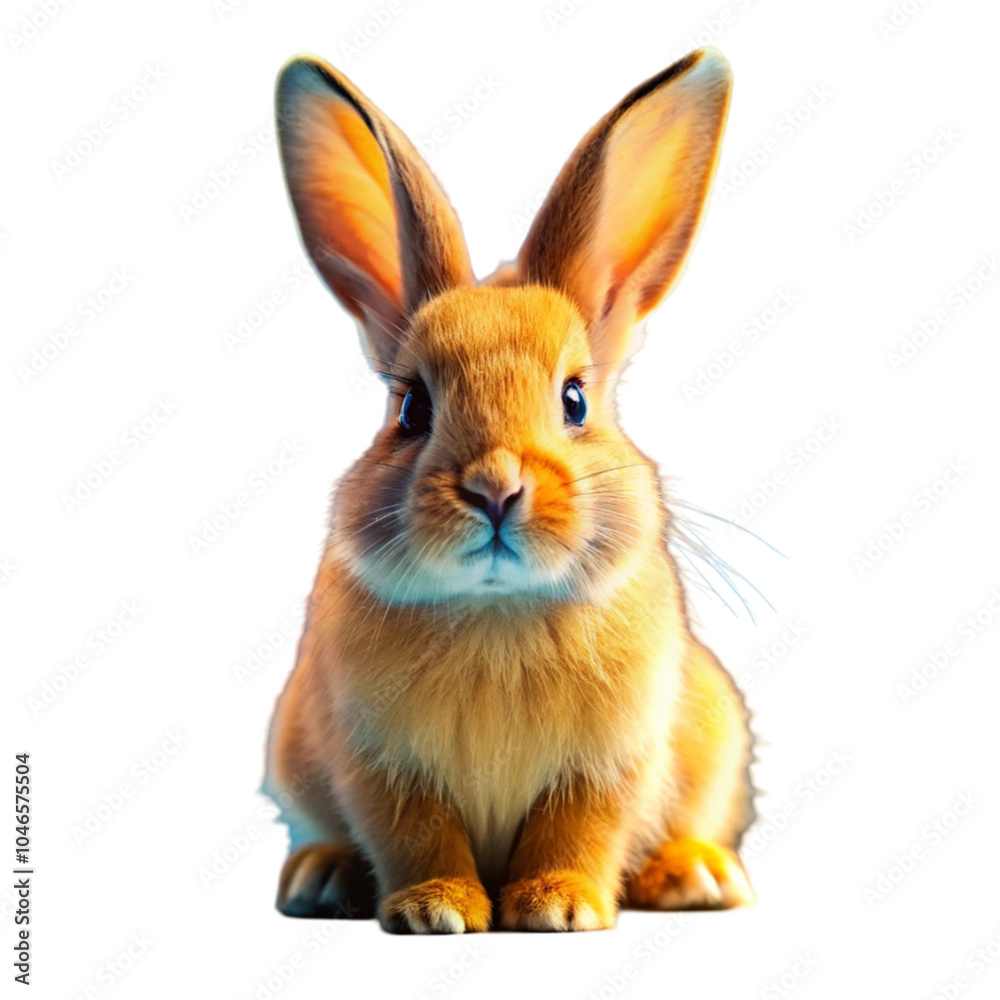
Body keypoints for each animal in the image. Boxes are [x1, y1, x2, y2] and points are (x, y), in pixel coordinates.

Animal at [264, 46, 756, 934]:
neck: (498, 614)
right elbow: (416, 836)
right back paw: (321, 879)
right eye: (411, 408)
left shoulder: (610, 762)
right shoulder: (376, 762)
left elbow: (580, 829)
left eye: (576, 400)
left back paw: (694, 876)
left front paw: (557, 908)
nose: (495, 486)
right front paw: (435, 910)